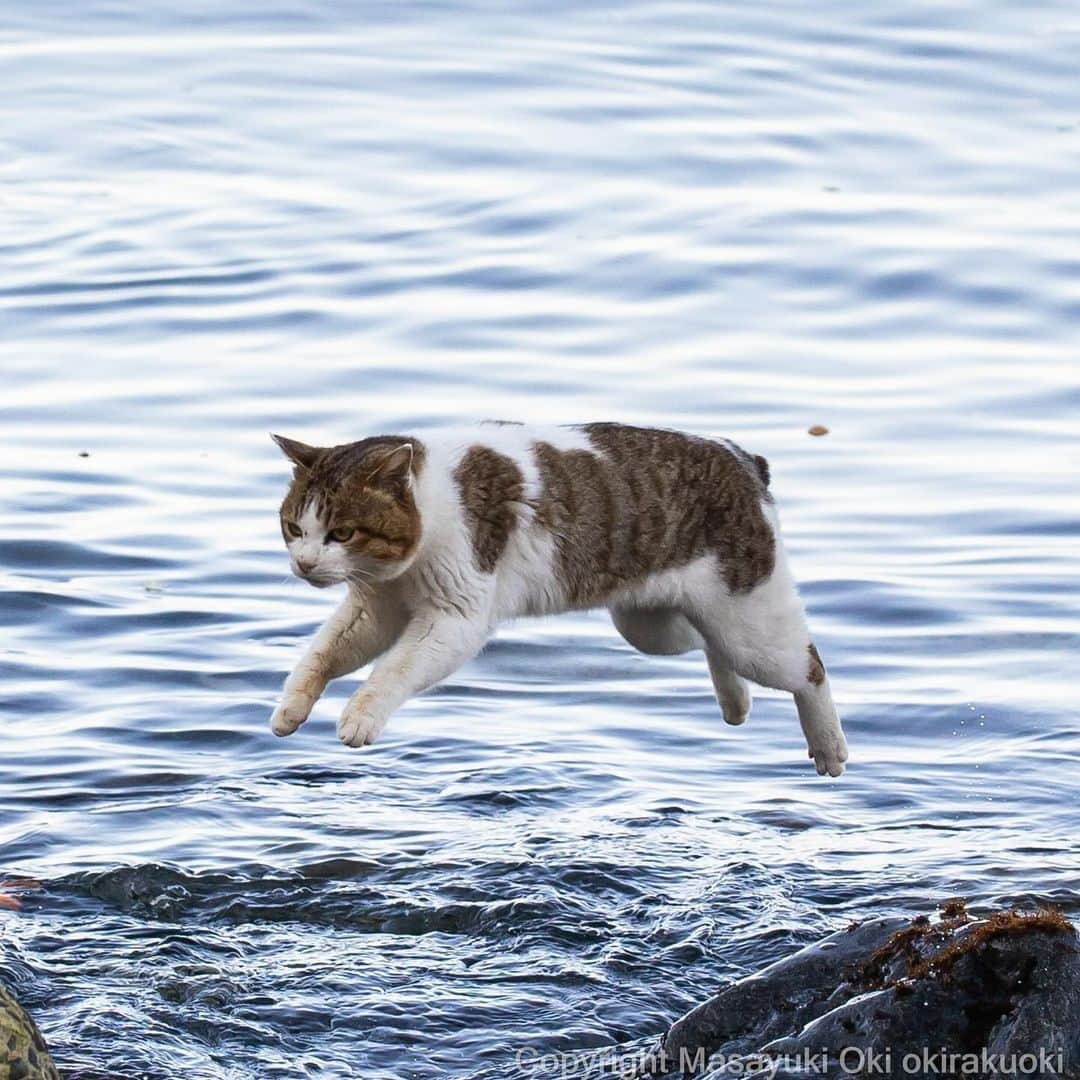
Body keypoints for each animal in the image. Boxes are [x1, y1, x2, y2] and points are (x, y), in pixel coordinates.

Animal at [265, 421, 846, 777]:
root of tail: (742, 457)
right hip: (653, 626)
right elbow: (322, 654)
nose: (305, 564)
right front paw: (293, 705)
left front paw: (360, 715)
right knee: (707, 643)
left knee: (807, 667)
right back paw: (735, 700)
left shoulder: (454, 617)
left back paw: (828, 744)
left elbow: (394, 670)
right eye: (295, 528)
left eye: (341, 533)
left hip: (750, 623)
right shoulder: (375, 605)